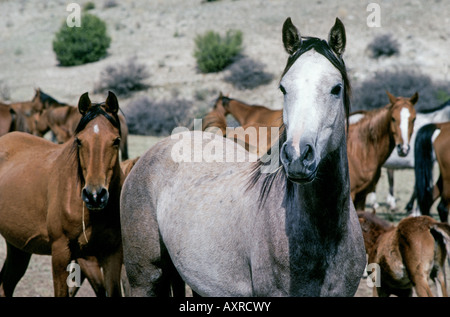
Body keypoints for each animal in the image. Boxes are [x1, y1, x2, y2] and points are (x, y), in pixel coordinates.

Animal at [0, 91, 123, 296]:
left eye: (116, 141)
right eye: (79, 140)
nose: (95, 196)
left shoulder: (112, 254)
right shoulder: (61, 252)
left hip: (18, 246)